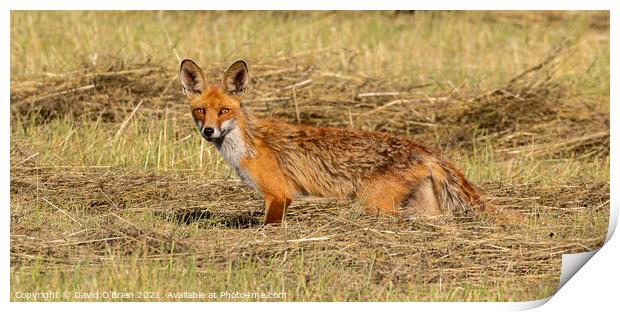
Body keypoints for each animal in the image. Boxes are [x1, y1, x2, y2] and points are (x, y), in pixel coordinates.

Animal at [178, 59, 490, 224]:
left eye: (224, 111)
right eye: (200, 111)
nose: (209, 131)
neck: (248, 145)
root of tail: (424, 148)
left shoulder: (279, 195)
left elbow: (268, 226)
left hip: (375, 204)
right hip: (420, 206)